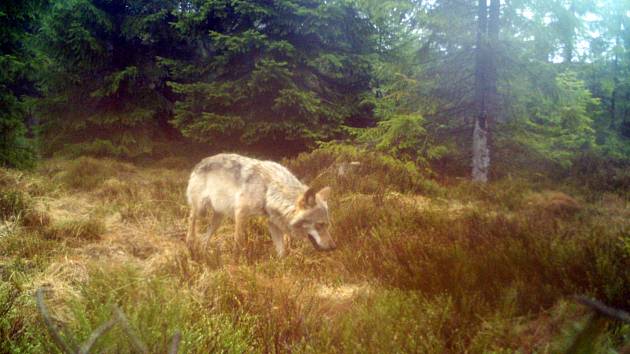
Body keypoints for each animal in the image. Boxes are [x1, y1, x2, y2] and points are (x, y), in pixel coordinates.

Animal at [186, 153, 338, 256]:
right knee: (192, 225)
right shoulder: (240, 214)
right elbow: (238, 243)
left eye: (327, 225)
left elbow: (282, 251)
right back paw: (191, 249)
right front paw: (236, 263)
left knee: (204, 239)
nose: (333, 247)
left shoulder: (272, 222)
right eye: (319, 225)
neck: (268, 189)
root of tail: (200, 162)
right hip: (199, 210)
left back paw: (204, 256)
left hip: (218, 219)